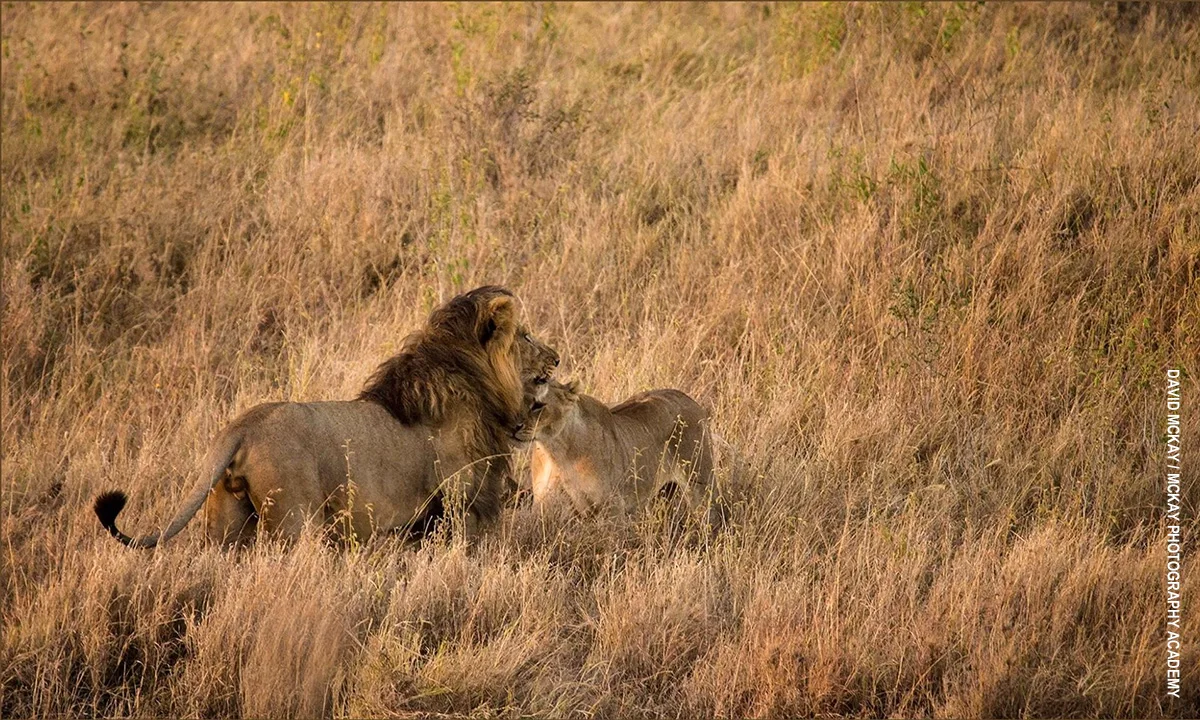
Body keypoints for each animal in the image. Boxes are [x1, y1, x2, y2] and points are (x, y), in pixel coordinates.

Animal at [94, 285, 559, 548]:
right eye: (525, 336)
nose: (556, 358)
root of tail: (240, 428)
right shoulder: (463, 506)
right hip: (294, 522)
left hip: (226, 529)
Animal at [522, 380, 719, 524]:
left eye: (538, 405)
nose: (516, 425)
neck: (556, 451)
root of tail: (689, 399)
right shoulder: (543, 506)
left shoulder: (613, 507)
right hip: (661, 495)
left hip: (701, 484)